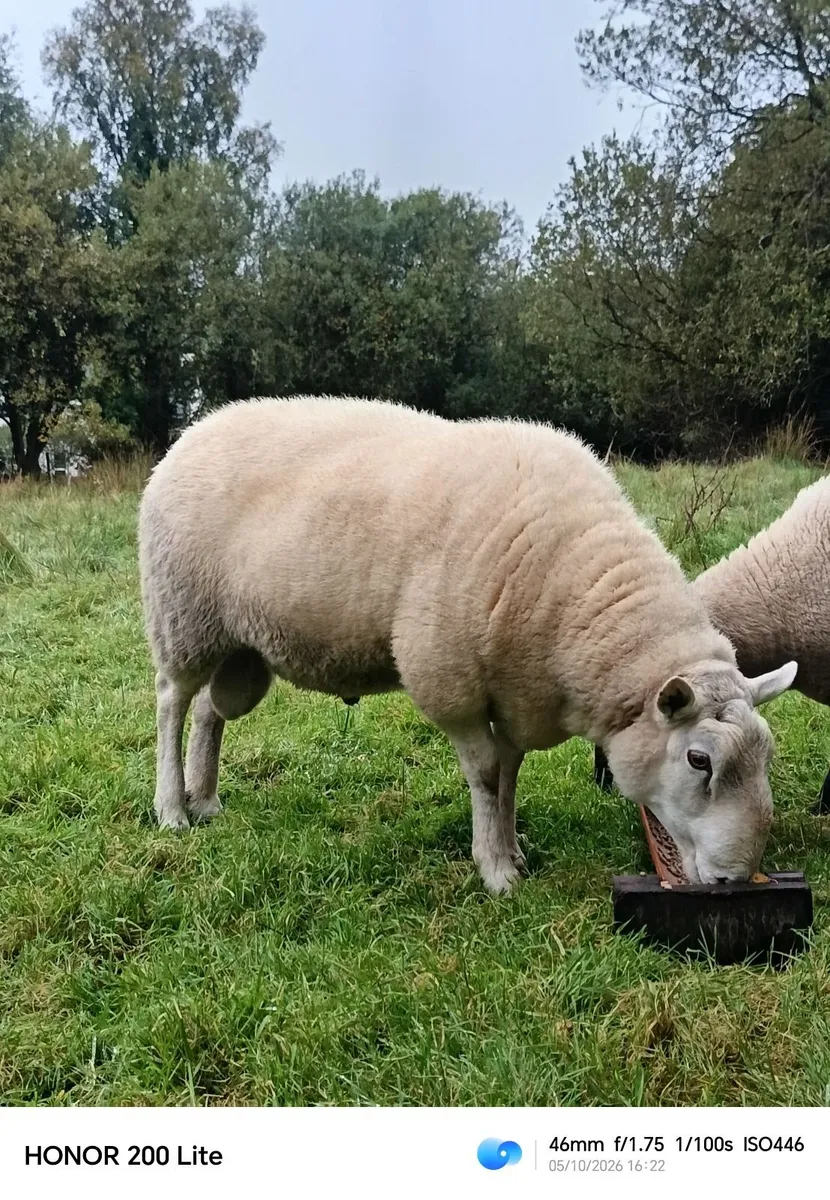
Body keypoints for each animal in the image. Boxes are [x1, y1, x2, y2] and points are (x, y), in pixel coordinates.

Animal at [138, 396, 797, 893]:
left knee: (210, 711)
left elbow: (509, 774)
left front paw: (512, 851)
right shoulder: (448, 679)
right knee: (173, 702)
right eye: (698, 760)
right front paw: (496, 871)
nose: (735, 881)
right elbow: (484, 774)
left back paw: (205, 800)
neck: (574, 594)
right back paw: (171, 809)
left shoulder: (516, 693)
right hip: (182, 616)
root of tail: (192, 432)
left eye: (765, 754)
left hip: (237, 647)